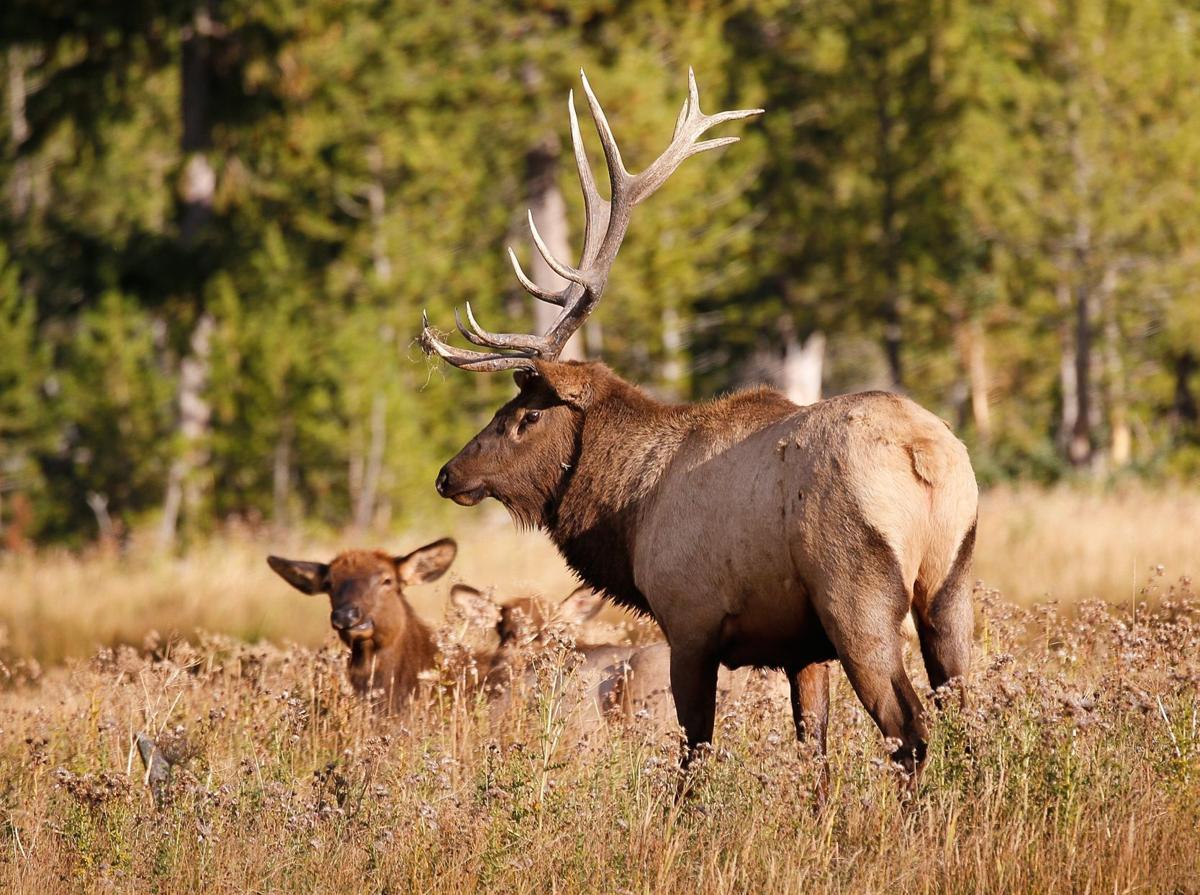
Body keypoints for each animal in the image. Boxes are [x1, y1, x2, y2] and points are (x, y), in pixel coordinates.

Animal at [419, 69, 979, 782]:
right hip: (950, 582)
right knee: (967, 712)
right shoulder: (803, 650)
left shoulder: (690, 620)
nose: (449, 474)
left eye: (527, 413)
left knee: (910, 730)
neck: (628, 512)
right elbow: (815, 756)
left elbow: (693, 755)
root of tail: (925, 456)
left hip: (858, 592)